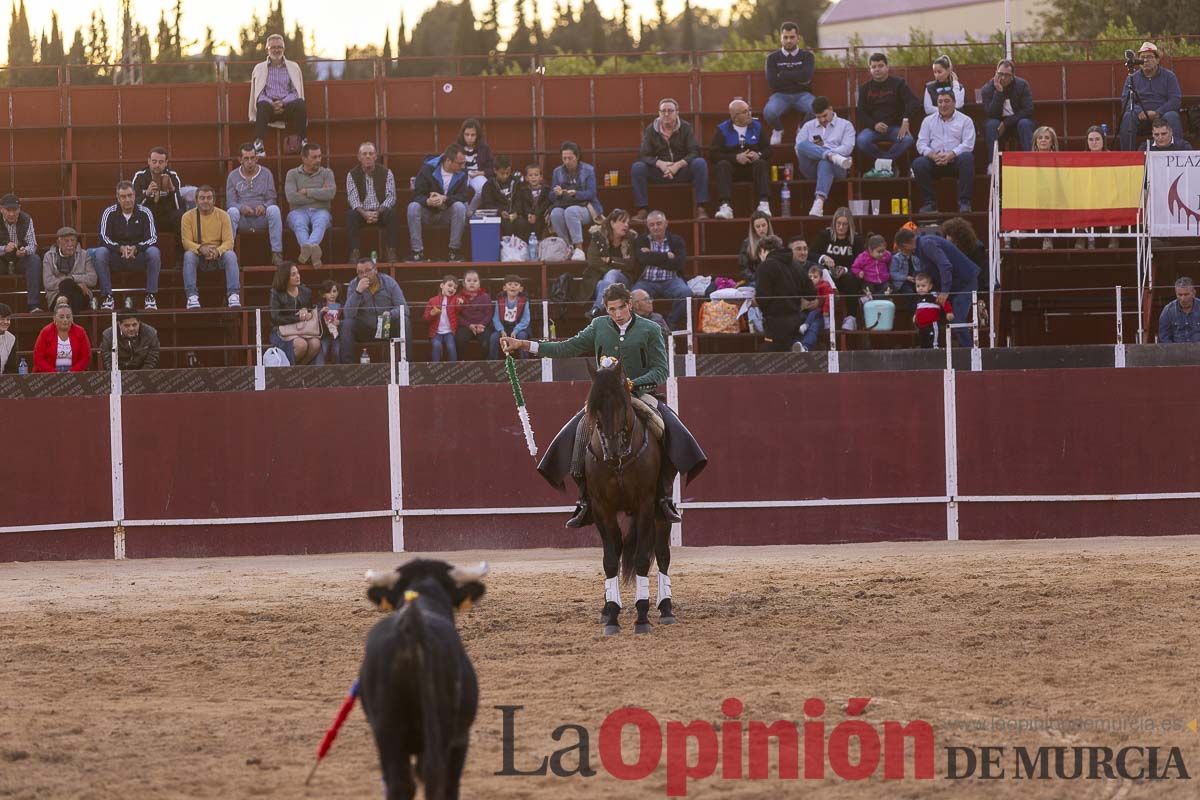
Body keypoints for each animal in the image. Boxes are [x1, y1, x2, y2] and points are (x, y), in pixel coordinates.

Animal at [583, 359, 676, 633]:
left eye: (623, 404)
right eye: (594, 408)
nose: (613, 449)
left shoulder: (646, 505)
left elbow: (643, 559)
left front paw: (642, 617)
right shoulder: (601, 508)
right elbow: (610, 560)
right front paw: (612, 615)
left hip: (661, 512)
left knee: (662, 554)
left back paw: (666, 608)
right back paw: (607, 608)